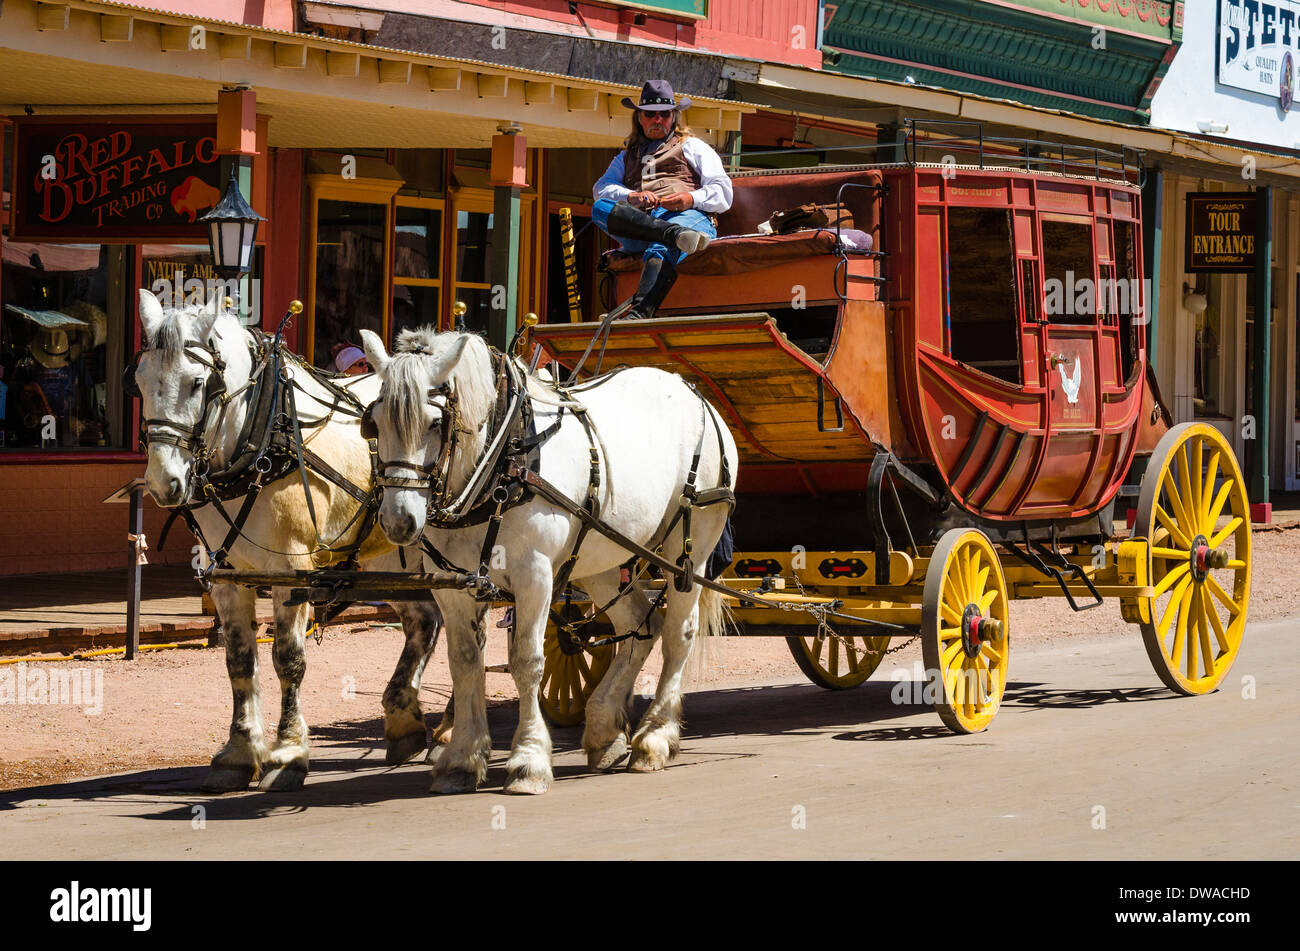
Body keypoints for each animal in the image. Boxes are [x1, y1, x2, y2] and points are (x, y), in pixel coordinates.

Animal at [132, 291, 447, 795]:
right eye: (140, 381)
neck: (261, 436)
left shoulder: (291, 572)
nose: (164, 484)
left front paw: (288, 753)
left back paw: (452, 728)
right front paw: (239, 752)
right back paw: (406, 724)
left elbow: (288, 660)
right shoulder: (228, 576)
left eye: (197, 383)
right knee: (425, 621)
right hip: (394, 557)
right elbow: (240, 661)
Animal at [361, 327, 738, 795]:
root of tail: (691, 391)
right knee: (640, 625)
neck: (503, 457)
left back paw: (654, 738)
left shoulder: (534, 574)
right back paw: (603, 729)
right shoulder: (454, 584)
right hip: (602, 556)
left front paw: (528, 760)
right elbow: (464, 663)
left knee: (677, 634)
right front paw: (462, 758)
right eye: (374, 422)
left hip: (689, 551)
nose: (397, 521)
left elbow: (527, 661)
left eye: (434, 423)